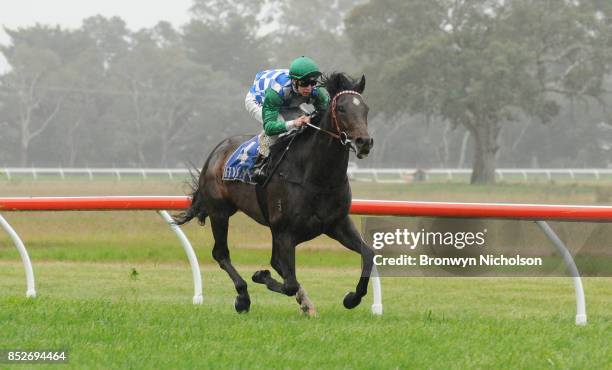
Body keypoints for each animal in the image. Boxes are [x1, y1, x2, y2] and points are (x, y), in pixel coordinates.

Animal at [172, 73, 372, 316]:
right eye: (341, 108)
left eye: (366, 109)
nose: (364, 142)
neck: (317, 177)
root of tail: (216, 152)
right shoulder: (285, 232)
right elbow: (289, 282)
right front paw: (261, 275)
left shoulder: (337, 224)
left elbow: (369, 255)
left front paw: (352, 298)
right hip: (219, 213)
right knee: (221, 253)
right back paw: (243, 297)